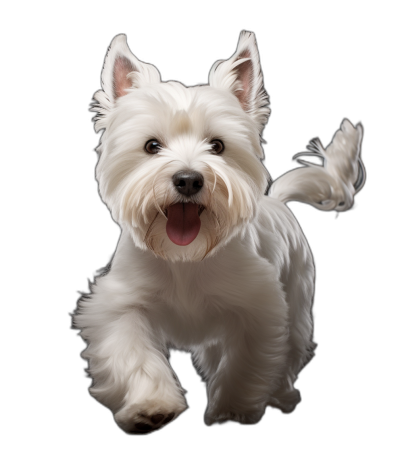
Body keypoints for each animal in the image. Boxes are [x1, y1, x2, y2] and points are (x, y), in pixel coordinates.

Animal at [73, 31, 364, 436]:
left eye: (218, 146)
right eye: (151, 146)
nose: (188, 179)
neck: (185, 255)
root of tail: (278, 203)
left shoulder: (259, 307)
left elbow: (247, 362)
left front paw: (233, 410)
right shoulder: (121, 303)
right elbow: (132, 352)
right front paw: (149, 407)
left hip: (298, 294)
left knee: (290, 351)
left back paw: (280, 396)